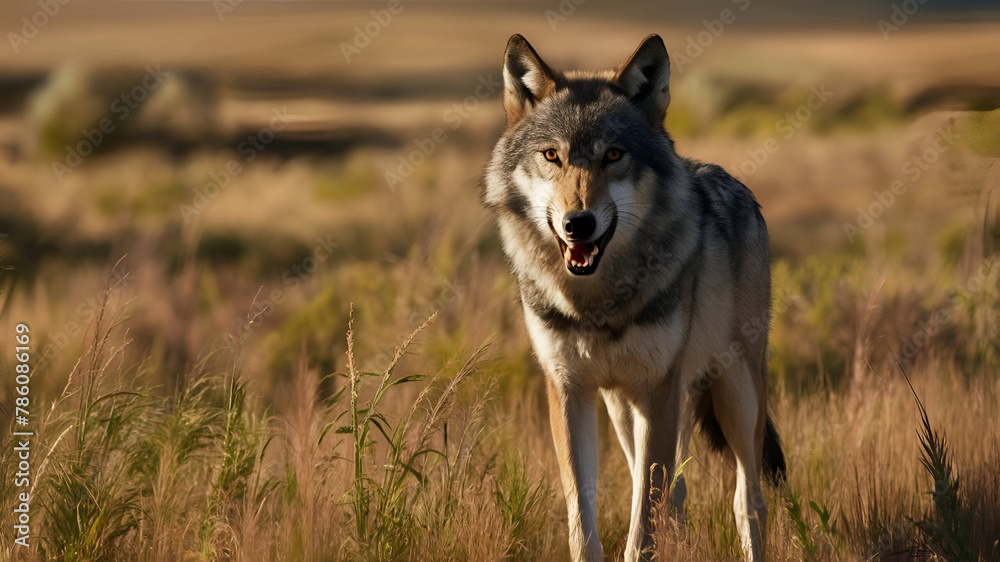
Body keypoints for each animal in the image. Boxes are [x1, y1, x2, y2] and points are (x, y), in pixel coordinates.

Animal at [483, 34, 786, 561]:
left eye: (613, 155)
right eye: (552, 155)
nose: (578, 223)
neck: (596, 302)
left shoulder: (659, 388)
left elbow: (644, 527)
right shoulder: (570, 392)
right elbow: (584, 518)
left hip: (734, 395)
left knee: (747, 501)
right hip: (627, 409)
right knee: (678, 496)